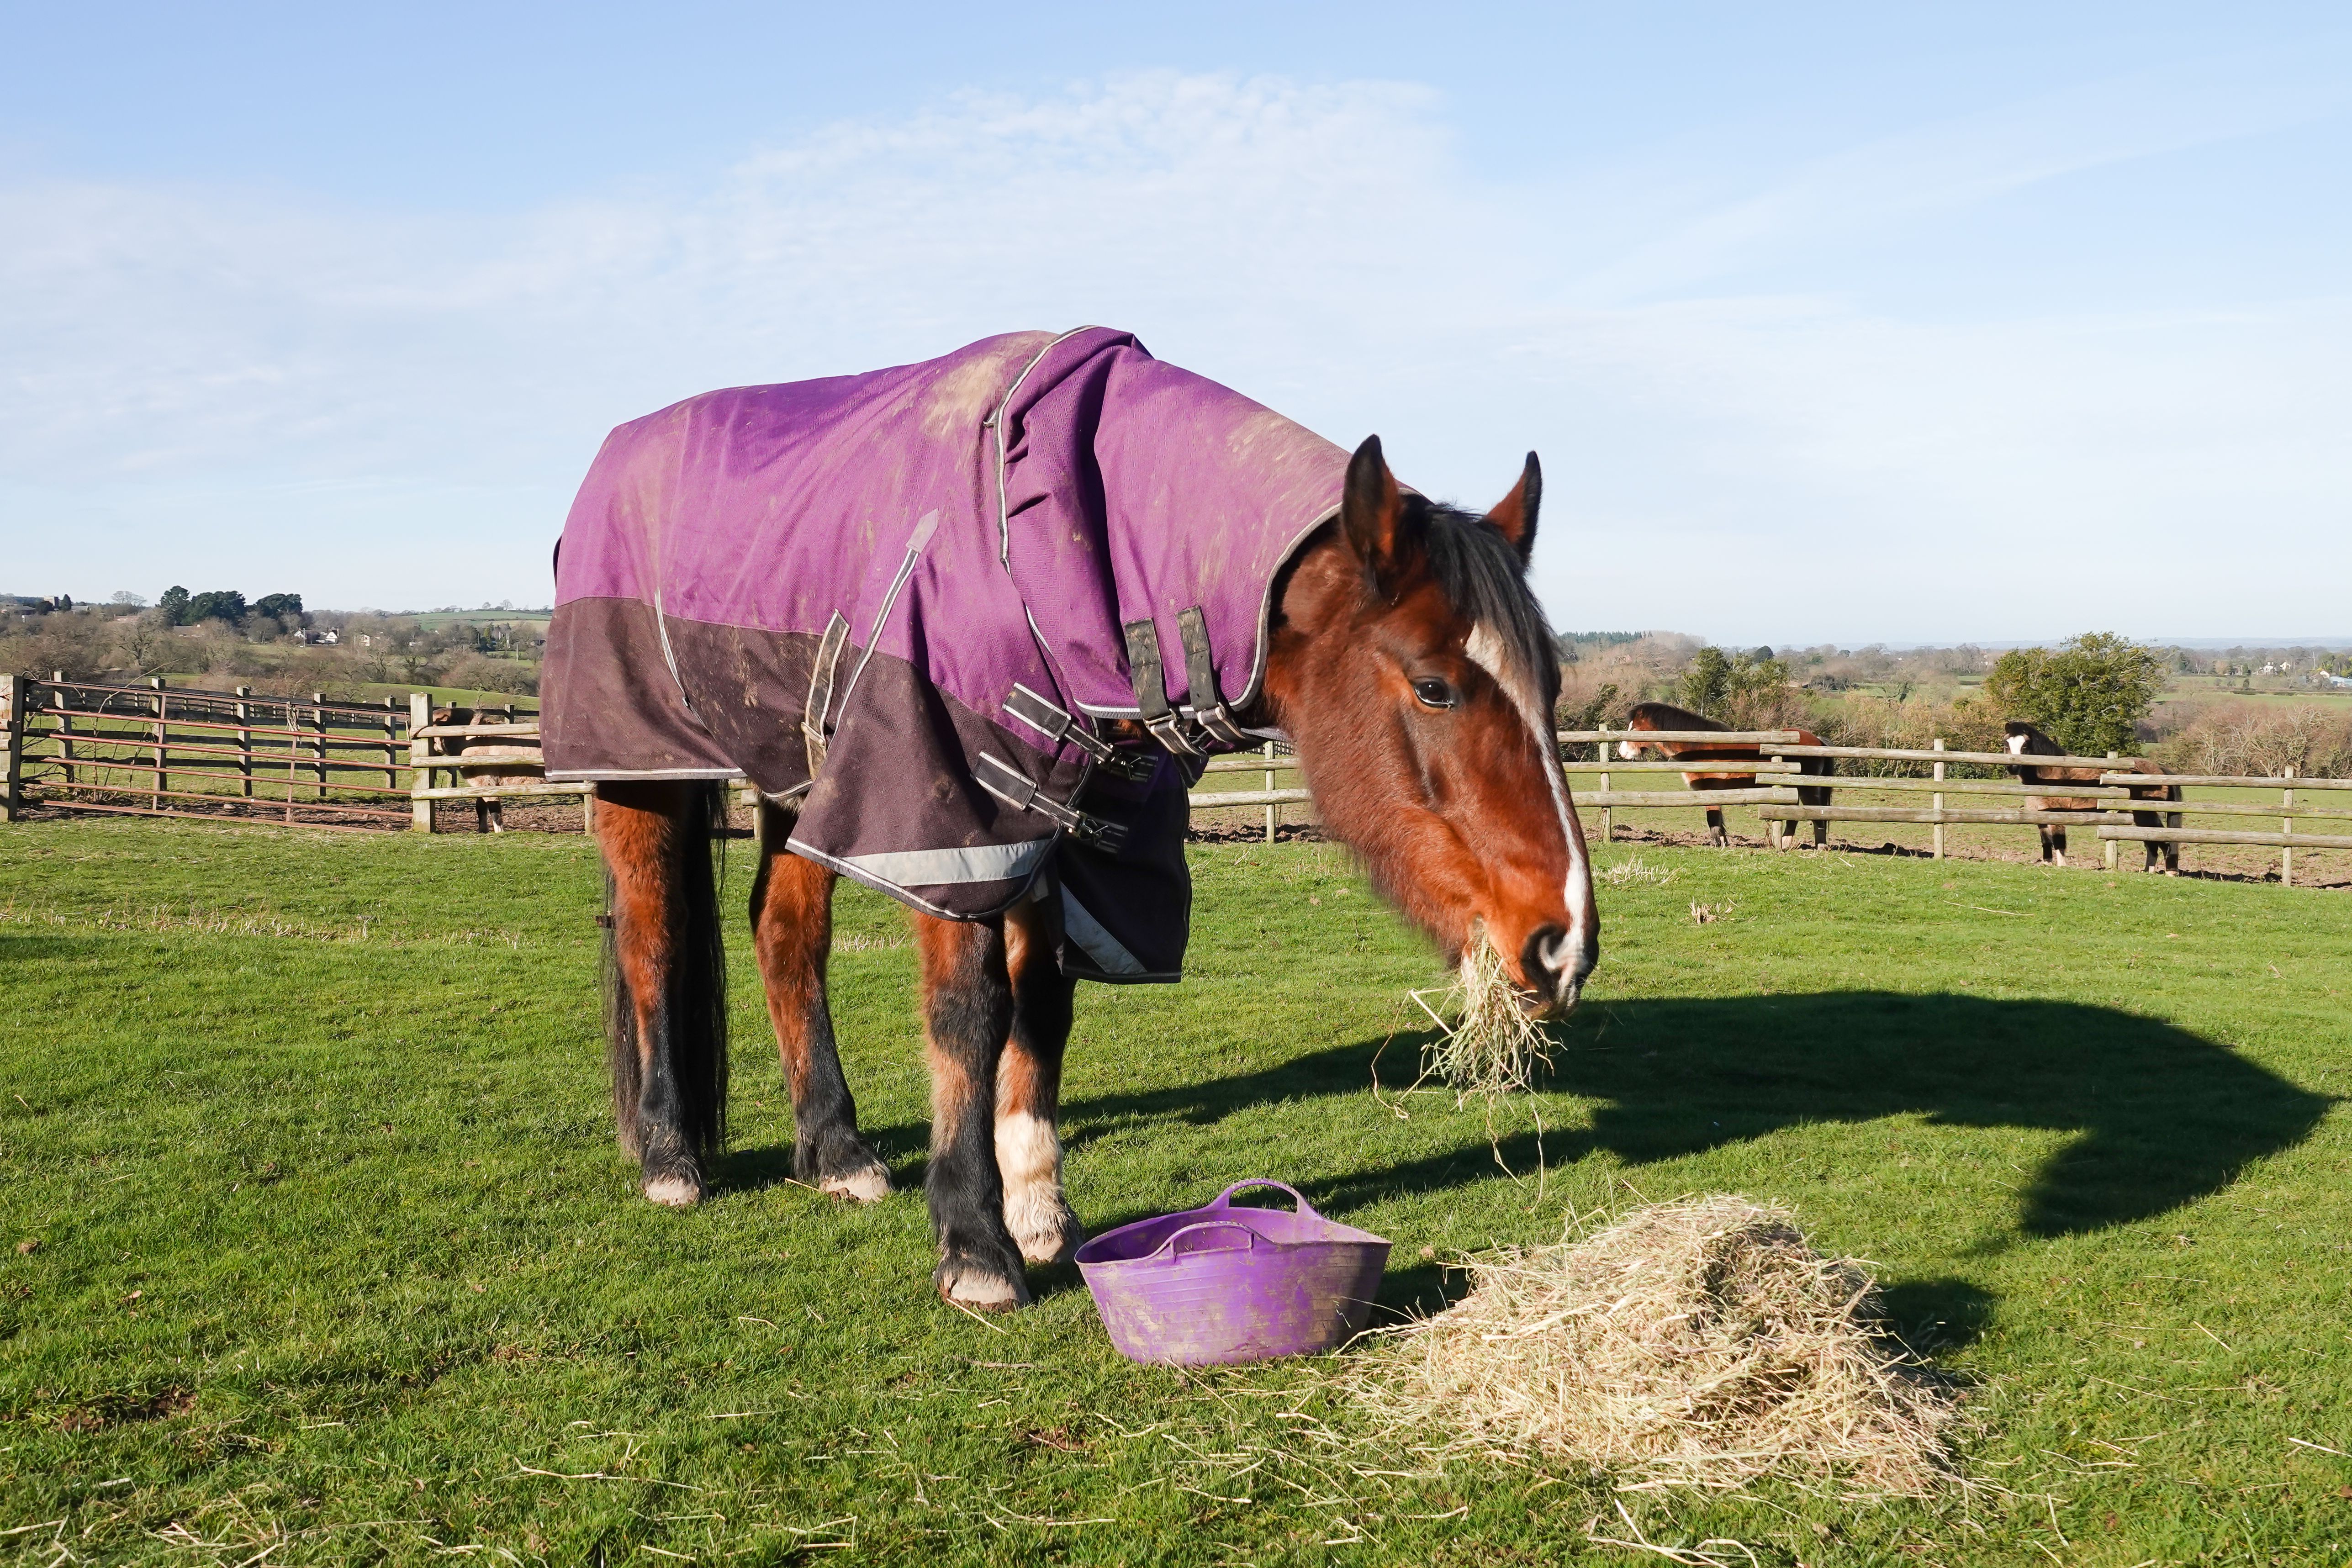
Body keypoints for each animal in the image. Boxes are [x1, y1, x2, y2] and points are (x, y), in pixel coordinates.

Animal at [546, 329, 1599, 1311]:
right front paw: (975, 1242)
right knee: (654, 937)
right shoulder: (944, 812)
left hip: (796, 776)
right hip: (644, 772)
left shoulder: (1070, 828)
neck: (1053, 546)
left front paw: (1038, 1204)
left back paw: (834, 1148)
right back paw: (670, 1154)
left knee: (783, 932)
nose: (1564, 943)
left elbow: (1043, 1006)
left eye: (1552, 683)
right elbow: (970, 1014)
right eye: (1433, 685)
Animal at [1614, 701, 1834, 848]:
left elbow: (1712, 818)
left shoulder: (1708, 790)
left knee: (1816, 812)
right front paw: (1723, 842)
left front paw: (1718, 843)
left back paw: (1817, 846)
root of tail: (1817, 740)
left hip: (1806, 788)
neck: (1700, 746)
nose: (1623, 753)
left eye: (1634, 728)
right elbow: (1718, 818)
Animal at [2003, 720, 2181, 872]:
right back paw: (2147, 871)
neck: (2050, 772)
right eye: (2006, 743)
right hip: (2140, 817)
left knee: (2163, 843)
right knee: (2152, 844)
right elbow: (2046, 842)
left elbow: (2059, 842)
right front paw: (2047, 864)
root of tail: (2160, 770)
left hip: (2147, 814)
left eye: (2025, 745)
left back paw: (2170, 872)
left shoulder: (2057, 815)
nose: (2013, 767)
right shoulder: (2040, 815)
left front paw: (2062, 867)